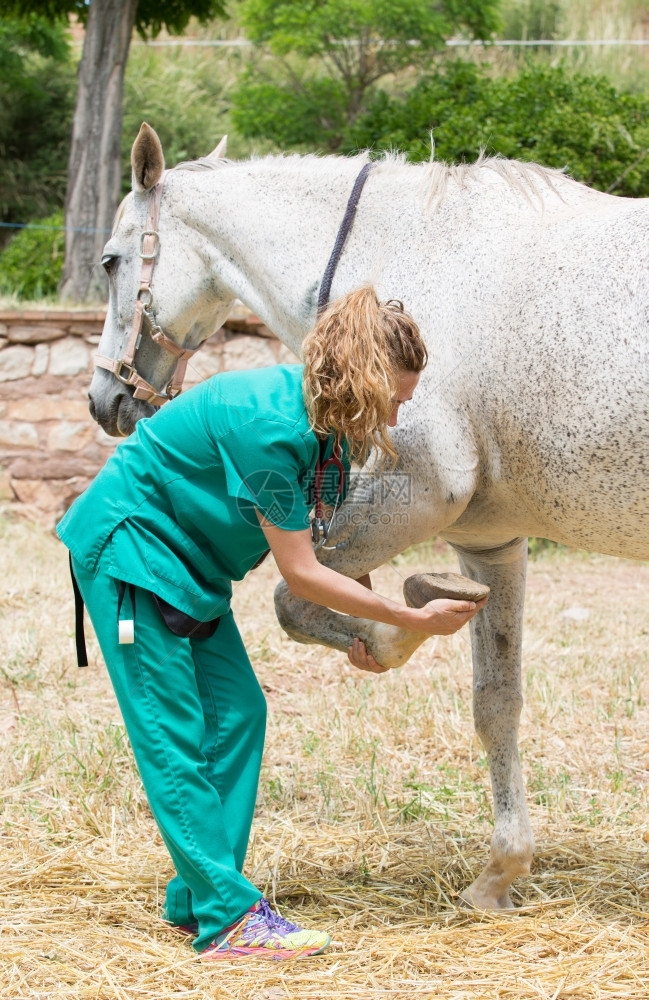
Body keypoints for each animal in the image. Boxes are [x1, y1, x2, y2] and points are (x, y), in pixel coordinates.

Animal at [88, 121, 648, 912]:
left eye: (111, 260)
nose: (105, 398)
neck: (402, 258)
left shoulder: (418, 491)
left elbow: (296, 602)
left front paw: (388, 635)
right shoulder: (488, 543)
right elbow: (496, 703)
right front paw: (500, 872)